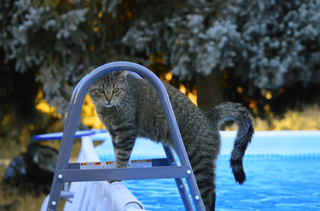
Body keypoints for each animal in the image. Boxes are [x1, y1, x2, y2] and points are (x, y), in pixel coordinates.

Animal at [87, 69, 252, 211]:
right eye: (101, 90)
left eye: (115, 90)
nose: (109, 99)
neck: (108, 110)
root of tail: (208, 116)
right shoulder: (114, 133)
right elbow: (117, 152)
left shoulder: (126, 131)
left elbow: (121, 155)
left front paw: (117, 175)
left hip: (199, 164)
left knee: (209, 195)